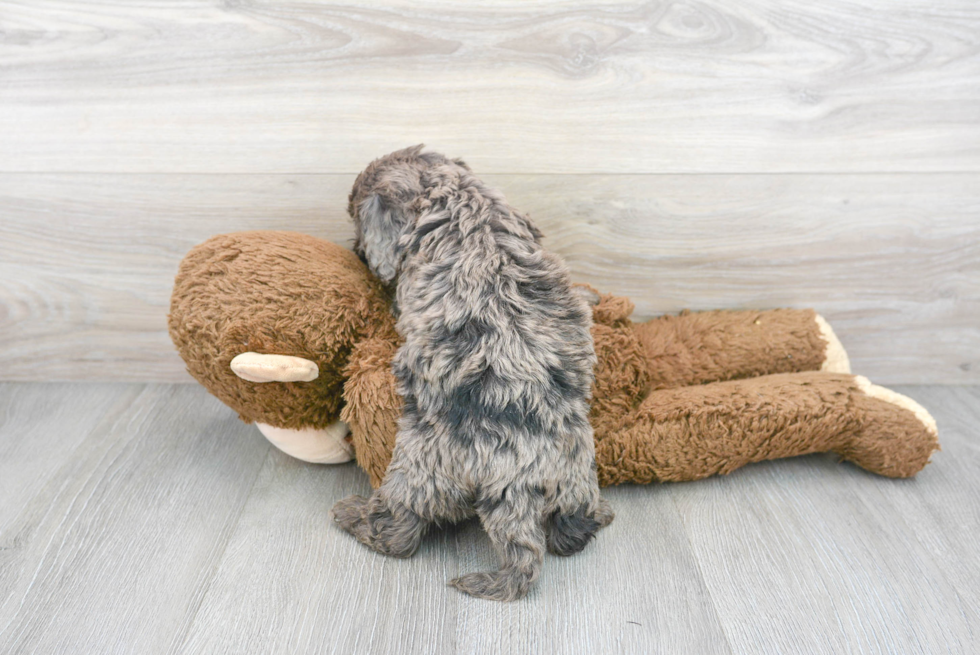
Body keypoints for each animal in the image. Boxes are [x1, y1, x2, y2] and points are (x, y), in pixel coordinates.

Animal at [330, 146, 612, 604]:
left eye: (356, 217)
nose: (355, 249)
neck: (460, 198)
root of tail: (520, 480)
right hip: (578, 476)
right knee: (574, 527)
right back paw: (596, 517)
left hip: (419, 470)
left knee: (399, 531)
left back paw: (354, 516)